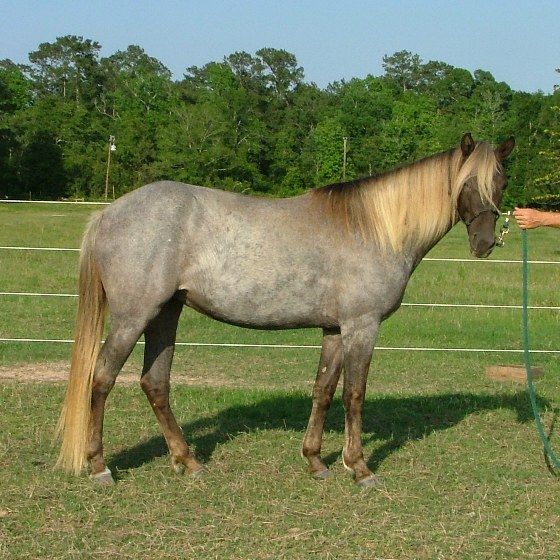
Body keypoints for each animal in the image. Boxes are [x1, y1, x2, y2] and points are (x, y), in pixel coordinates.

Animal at [57, 133, 516, 488]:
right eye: (467, 182)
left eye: (501, 180)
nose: (484, 243)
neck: (374, 229)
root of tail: (107, 214)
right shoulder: (362, 326)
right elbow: (354, 394)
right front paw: (360, 468)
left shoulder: (335, 330)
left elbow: (323, 390)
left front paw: (315, 461)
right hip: (134, 318)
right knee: (101, 380)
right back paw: (99, 467)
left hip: (165, 316)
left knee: (155, 384)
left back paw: (187, 461)